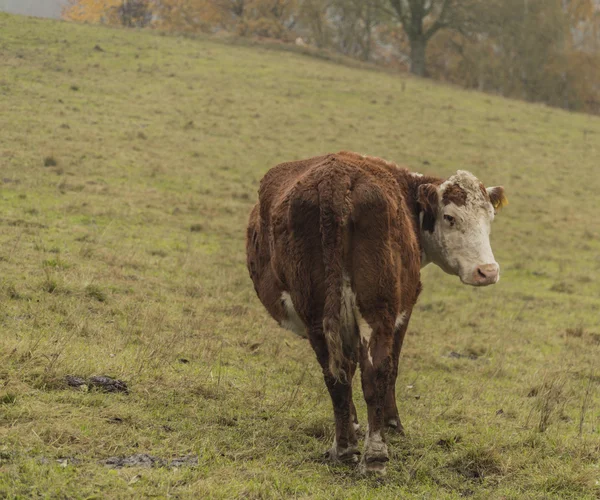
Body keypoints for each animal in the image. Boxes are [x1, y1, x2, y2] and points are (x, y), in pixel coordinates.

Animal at [244, 150, 506, 474]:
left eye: (489, 218)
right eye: (449, 217)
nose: (488, 271)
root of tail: (334, 182)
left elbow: (348, 363)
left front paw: (354, 425)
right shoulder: (403, 310)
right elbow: (390, 368)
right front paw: (392, 424)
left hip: (317, 309)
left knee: (337, 374)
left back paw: (345, 448)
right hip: (378, 307)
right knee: (376, 371)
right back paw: (375, 453)